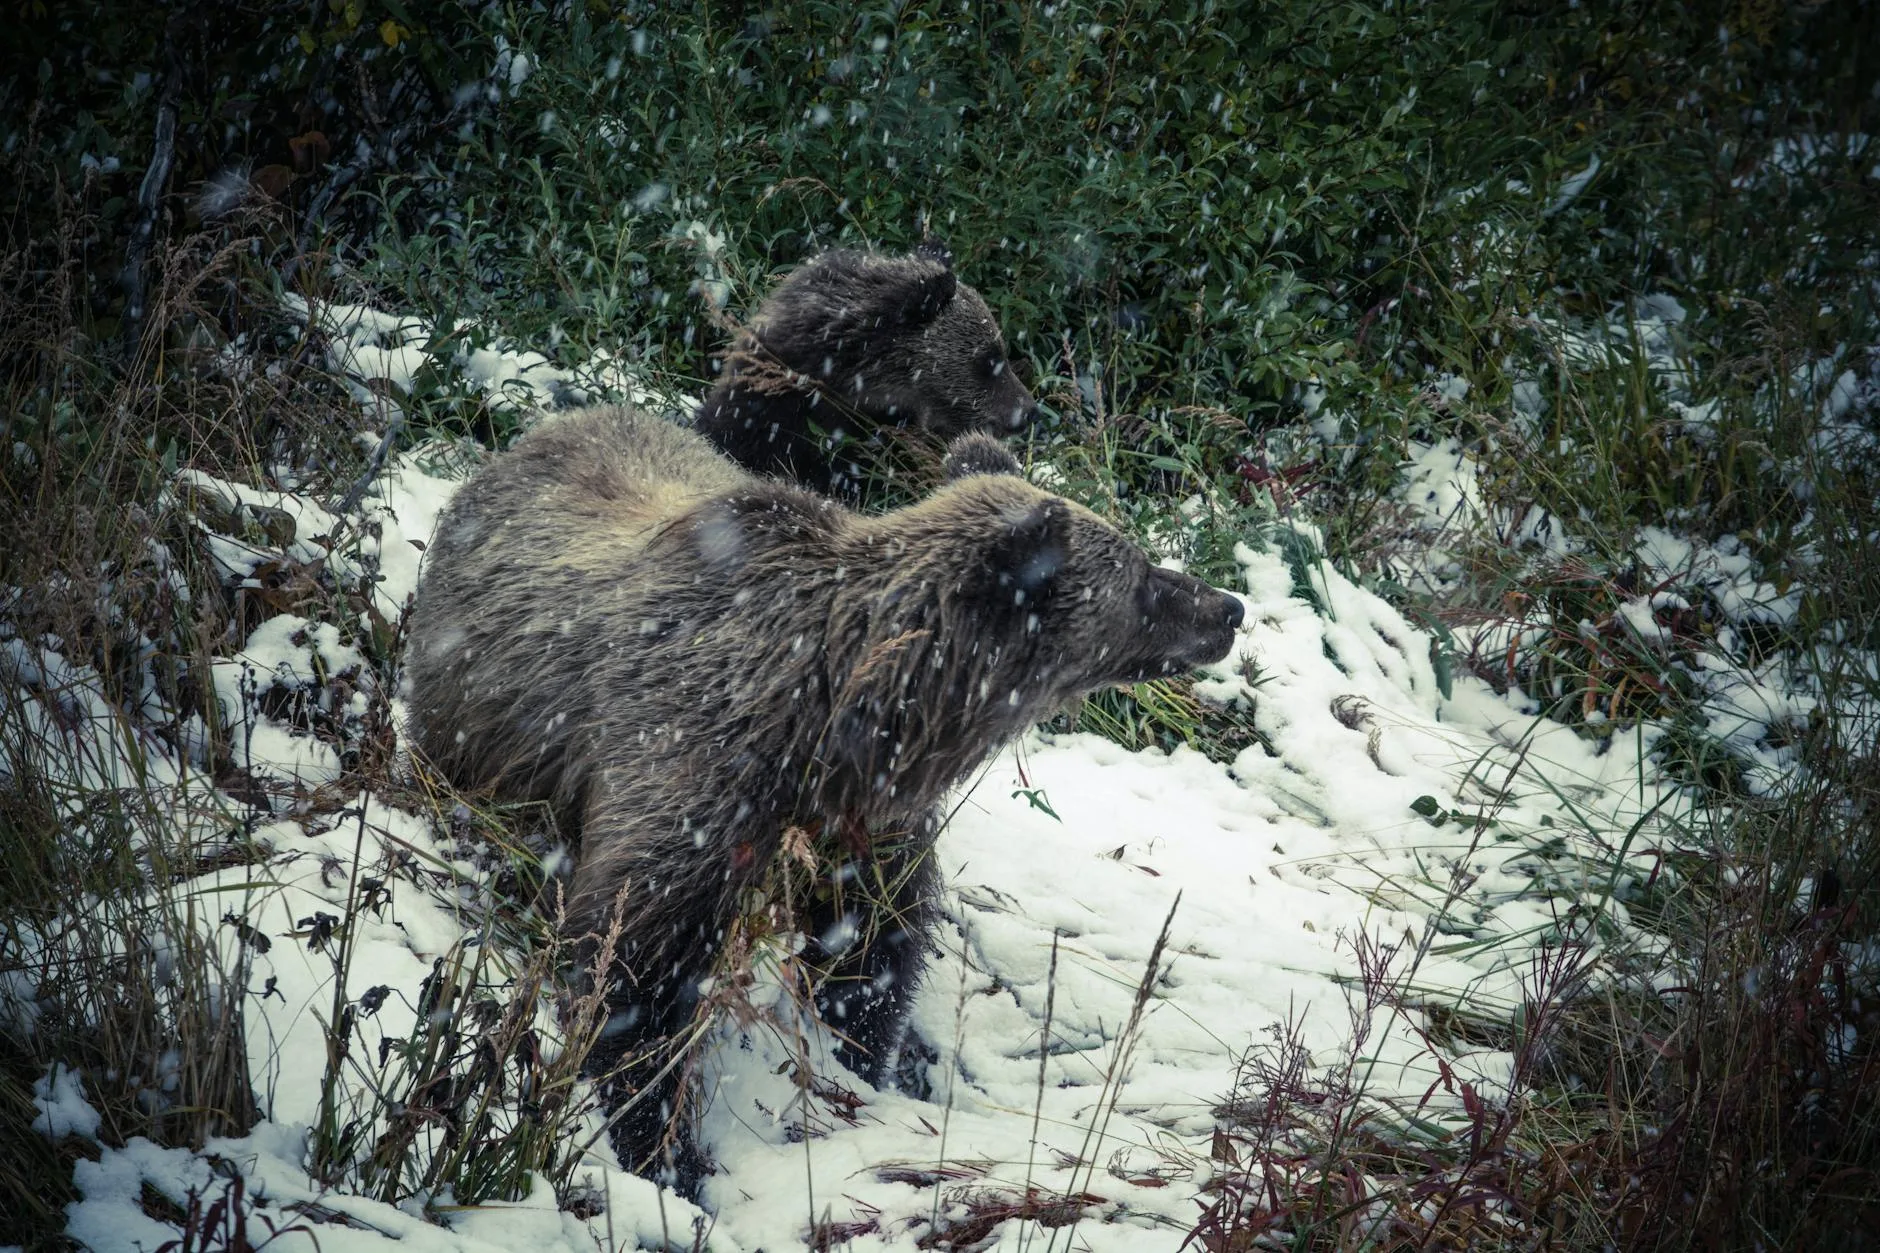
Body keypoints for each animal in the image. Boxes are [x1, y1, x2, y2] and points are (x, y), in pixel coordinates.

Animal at [403, 404, 1244, 1198]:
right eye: (1142, 574)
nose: (1228, 607)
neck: (842, 715)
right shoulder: (695, 778)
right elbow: (632, 969)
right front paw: (665, 1149)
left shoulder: (861, 824)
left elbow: (868, 947)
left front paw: (860, 1058)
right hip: (472, 726)